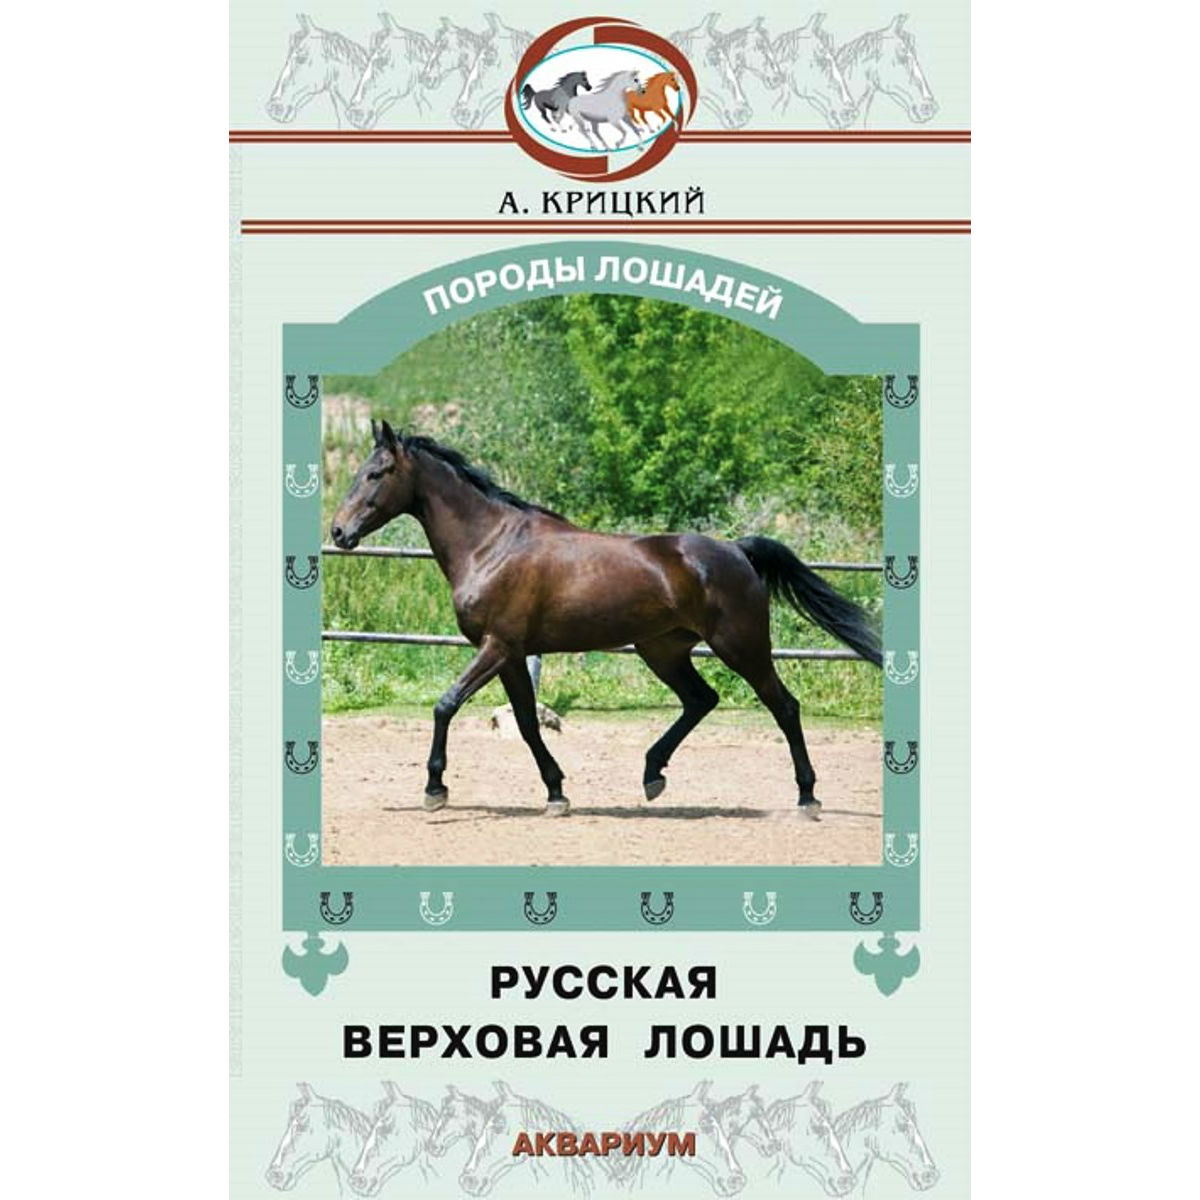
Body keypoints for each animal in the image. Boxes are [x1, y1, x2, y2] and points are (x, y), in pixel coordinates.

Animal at [331, 423, 881, 818]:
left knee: (784, 706)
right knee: (701, 700)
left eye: (377, 473)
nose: (339, 532)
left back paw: (807, 798)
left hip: (740, 646)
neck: (490, 545)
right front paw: (556, 794)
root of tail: (737, 550)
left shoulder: (496, 645)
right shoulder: (512, 654)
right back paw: (652, 776)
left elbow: (446, 705)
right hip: (663, 650)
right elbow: (526, 723)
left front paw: (435, 788)